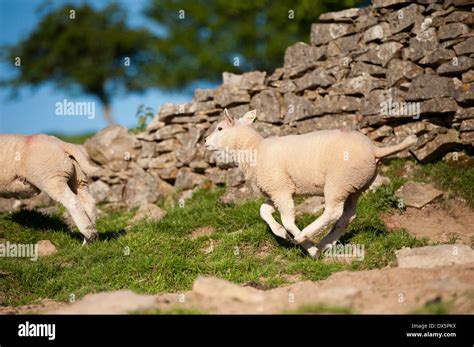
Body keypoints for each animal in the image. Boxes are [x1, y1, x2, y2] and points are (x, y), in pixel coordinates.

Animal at [206, 110, 416, 256]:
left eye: (220, 128)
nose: (205, 141)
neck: (254, 149)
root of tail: (375, 149)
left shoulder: (281, 189)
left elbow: (288, 220)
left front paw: (306, 247)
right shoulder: (277, 191)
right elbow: (264, 211)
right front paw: (281, 233)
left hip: (338, 181)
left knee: (333, 212)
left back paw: (306, 237)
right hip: (354, 185)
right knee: (348, 215)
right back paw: (326, 243)